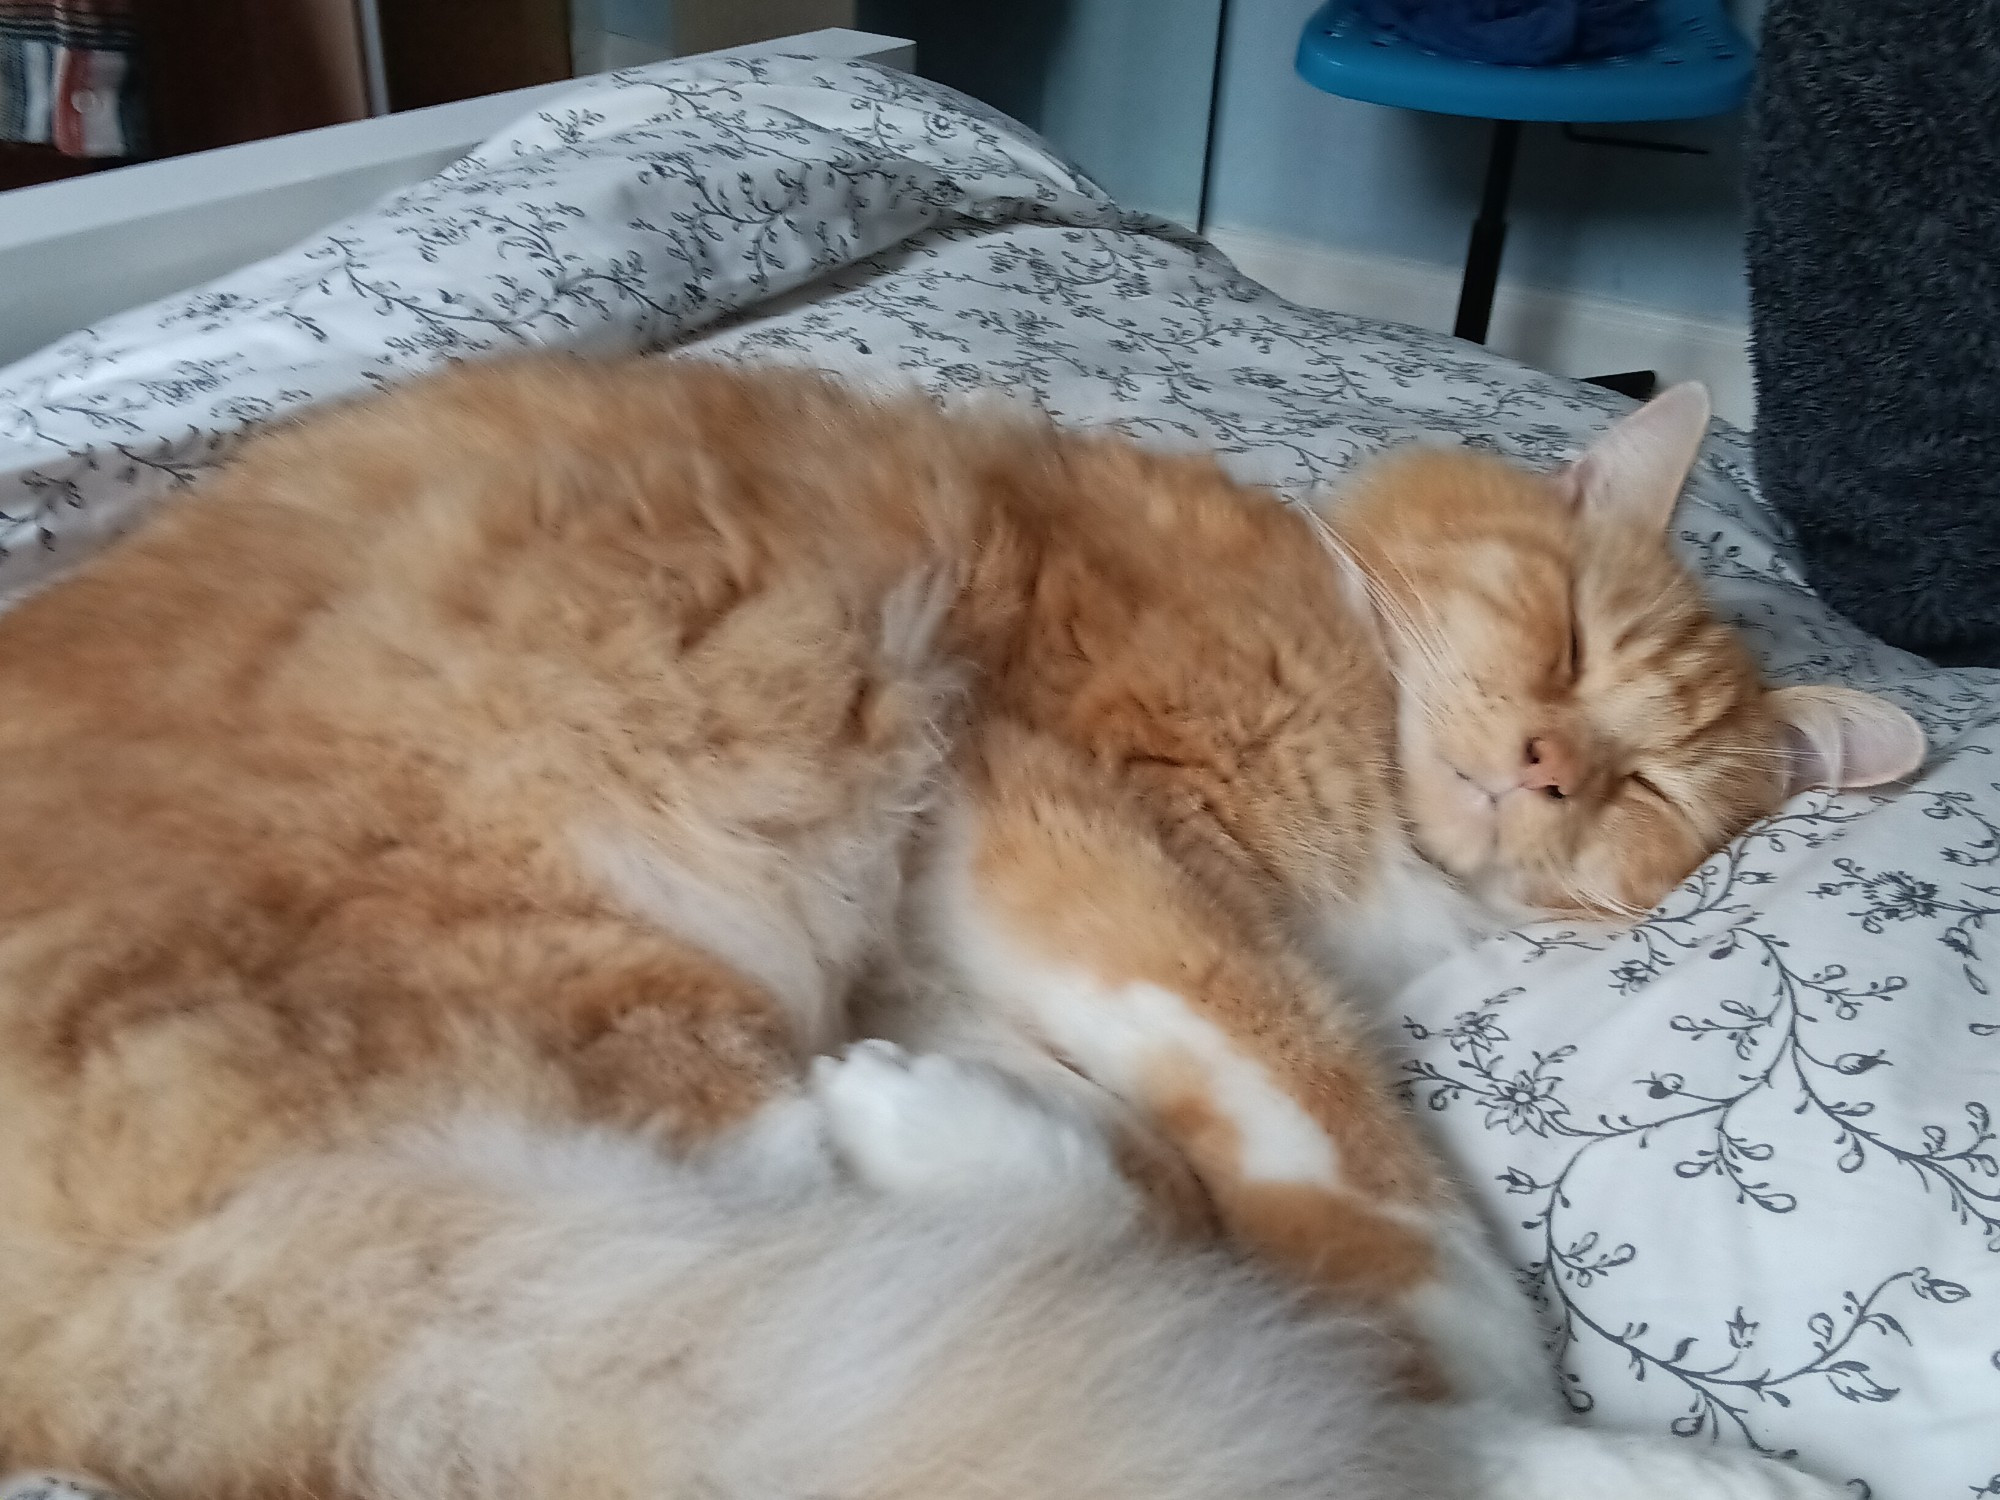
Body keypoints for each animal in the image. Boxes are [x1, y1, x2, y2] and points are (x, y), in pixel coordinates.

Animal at [0, 356, 1912, 1500]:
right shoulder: (1065, 819)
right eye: (1571, 640)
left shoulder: (974, 940)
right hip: (615, 1033)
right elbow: (1366, 1182)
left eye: (1647, 784)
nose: (1544, 767)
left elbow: (1198, 1180)